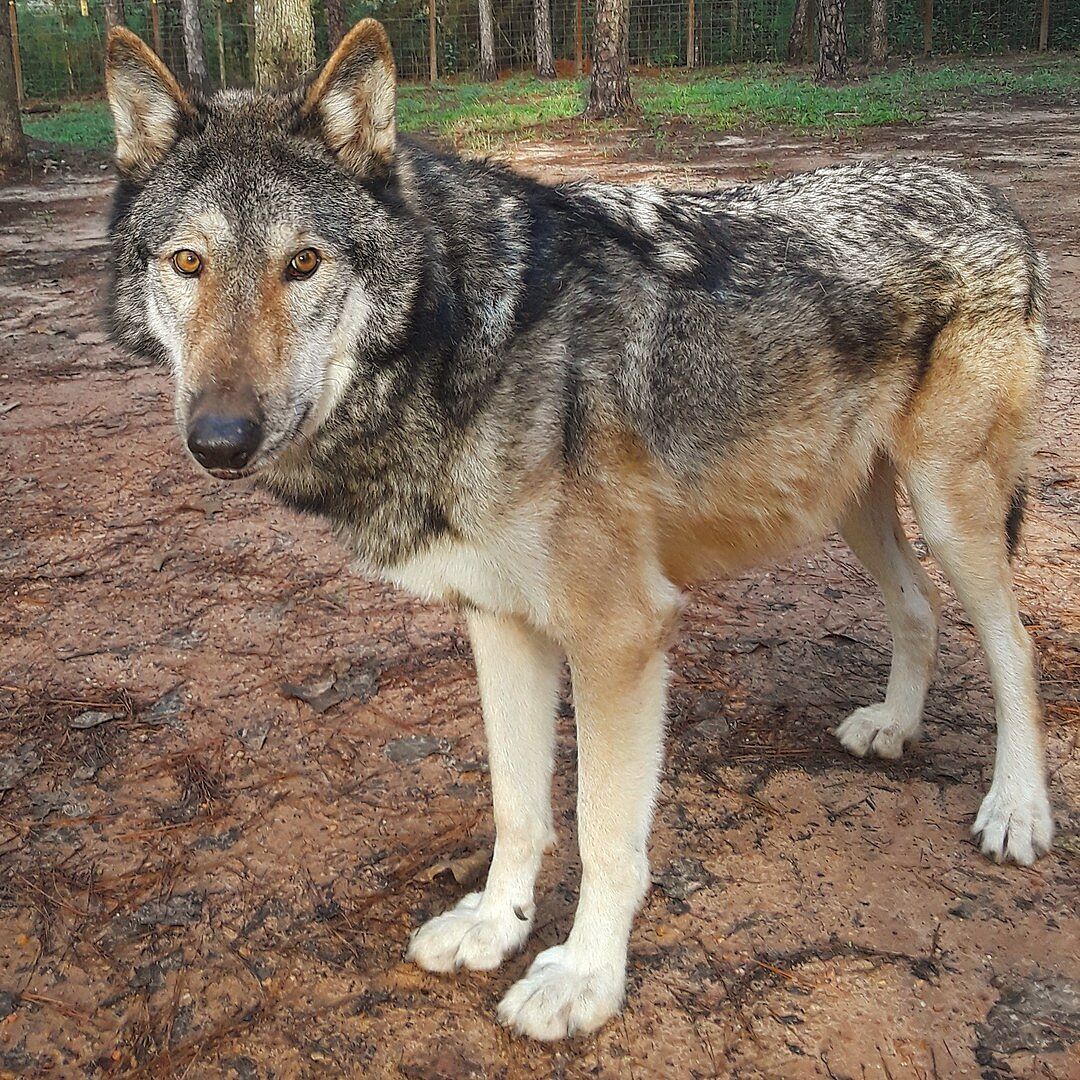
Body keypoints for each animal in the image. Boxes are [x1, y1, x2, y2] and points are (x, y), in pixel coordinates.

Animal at [105, 20, 1053, 1041]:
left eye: (304, 264)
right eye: (188, 264)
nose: (219, 439)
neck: (464, 336)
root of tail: (993, 197)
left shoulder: (621, 634)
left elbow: (604, 833)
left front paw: (585, 978)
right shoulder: (500, 622)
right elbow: (518, 807)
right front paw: (495, 926)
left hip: (950, 506)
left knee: (1015, 642)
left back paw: (1018, 808)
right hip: (850, 507)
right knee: (918, 610)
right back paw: (895, 727)